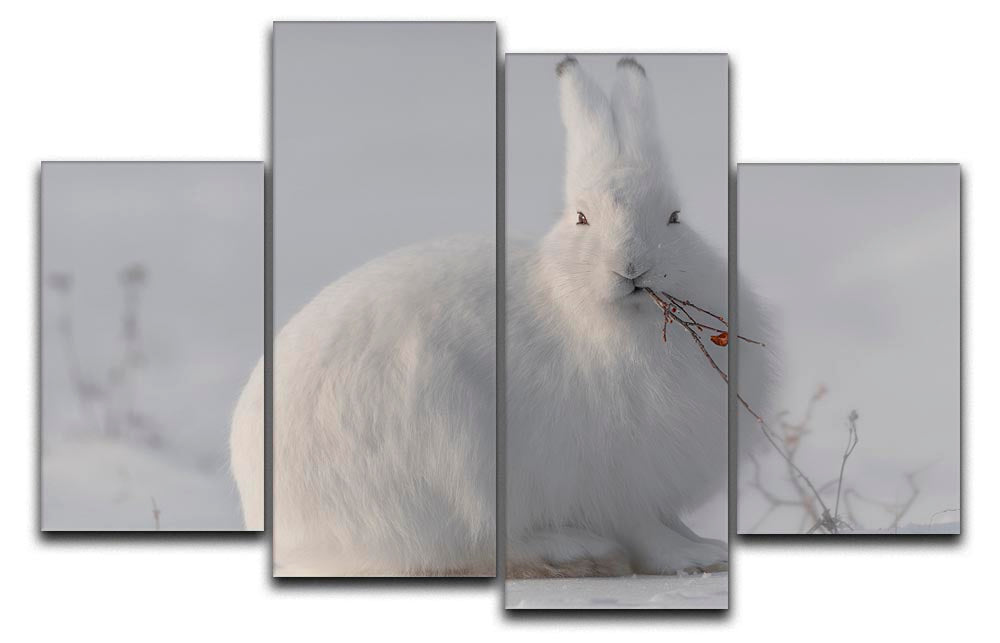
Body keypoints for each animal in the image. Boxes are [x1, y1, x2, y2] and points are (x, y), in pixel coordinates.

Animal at [504, 56, 772, 577]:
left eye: (675, 217)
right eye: (581, 218)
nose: (632, 268)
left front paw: (705, 546)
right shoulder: (609, 477)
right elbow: (642, 529)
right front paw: (693, 557)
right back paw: (575, 550)